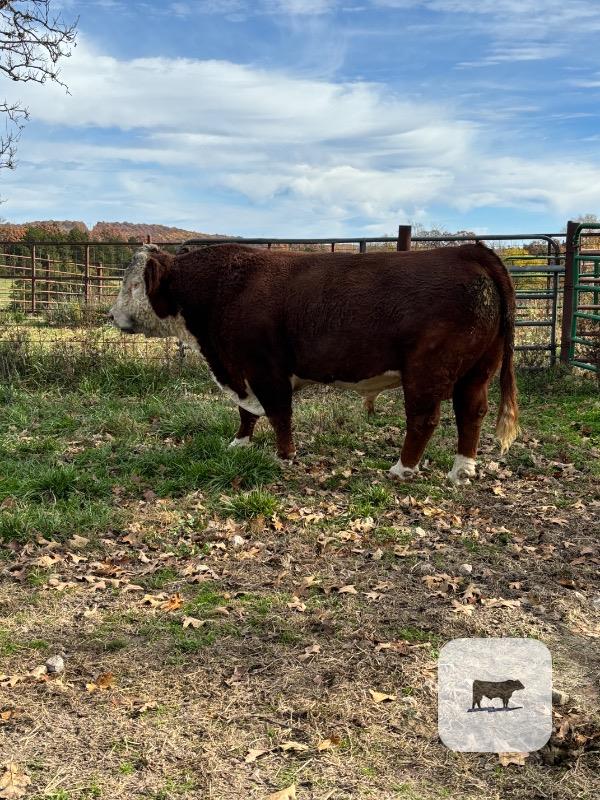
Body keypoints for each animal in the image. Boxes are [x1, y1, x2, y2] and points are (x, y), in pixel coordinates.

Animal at [109, 242, 519, 485]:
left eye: (134, 285)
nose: (111, 315)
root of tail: (468, 251)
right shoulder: (240, 370)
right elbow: (246, 412)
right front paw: (239, 443)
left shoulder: (264, 368)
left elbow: (278, 413)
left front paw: (284, 456)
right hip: (477, 370)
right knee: (471, 413)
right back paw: (462, 468)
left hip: (427, 370)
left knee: (424, 418)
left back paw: (403, 468)